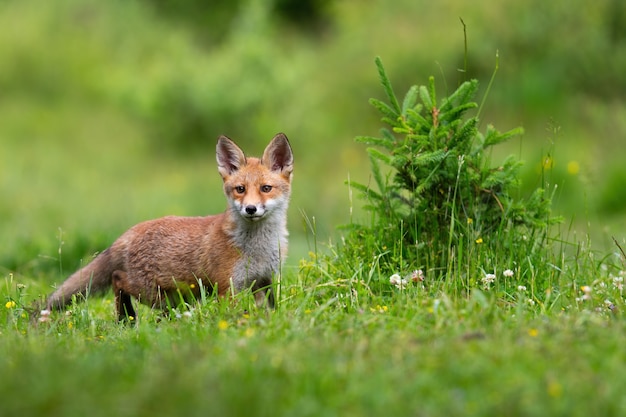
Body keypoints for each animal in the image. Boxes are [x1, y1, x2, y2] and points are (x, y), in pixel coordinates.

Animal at [44, 133, 292, 318]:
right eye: (240, 189)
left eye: (266, 188)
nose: (250, 209)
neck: (258, 248)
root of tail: (130, 232)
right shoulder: (227, 287)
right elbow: (233, 314)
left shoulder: (264, 280)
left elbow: (270, 310)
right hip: (152, 294)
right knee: (117, 279)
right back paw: (126, 318)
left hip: (176, 300)